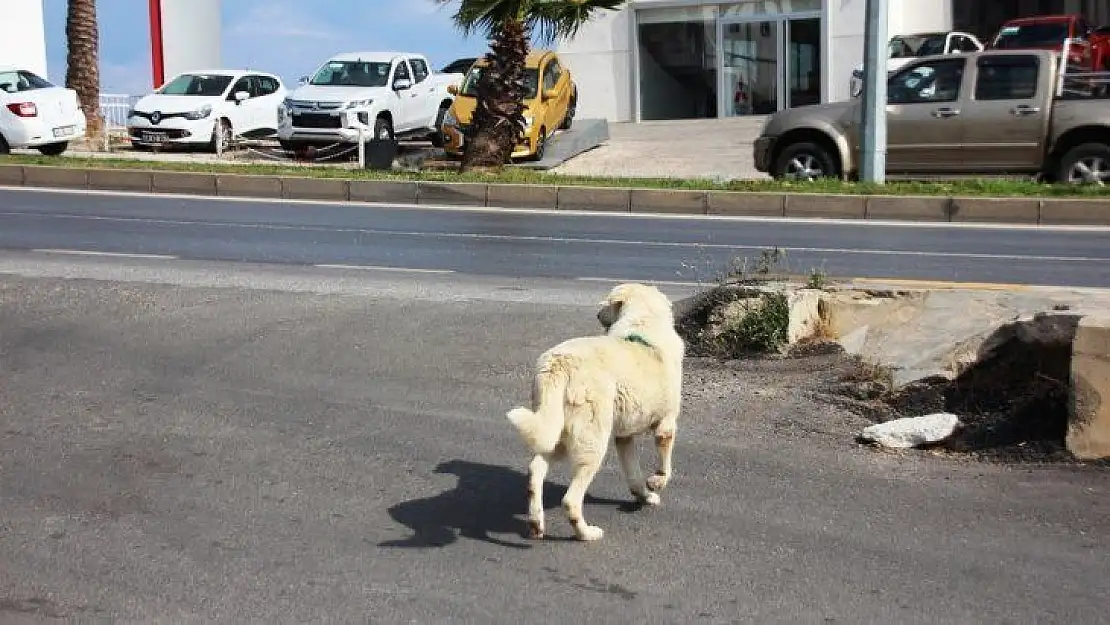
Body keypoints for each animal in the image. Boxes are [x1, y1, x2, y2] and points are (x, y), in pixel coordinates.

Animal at [506, 284, 679, 543]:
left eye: (606, 305)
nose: (597, 316)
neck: (642, 326)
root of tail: (558, 363)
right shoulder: (666, 426)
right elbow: (665, 467)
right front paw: (657, 482)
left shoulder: (624, 438)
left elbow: (634, 476)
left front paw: (645, 496)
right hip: (592, 444)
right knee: (570, 500)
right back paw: (586, 533)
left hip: (557, 434)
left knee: (535, 469)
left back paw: (537, 524)